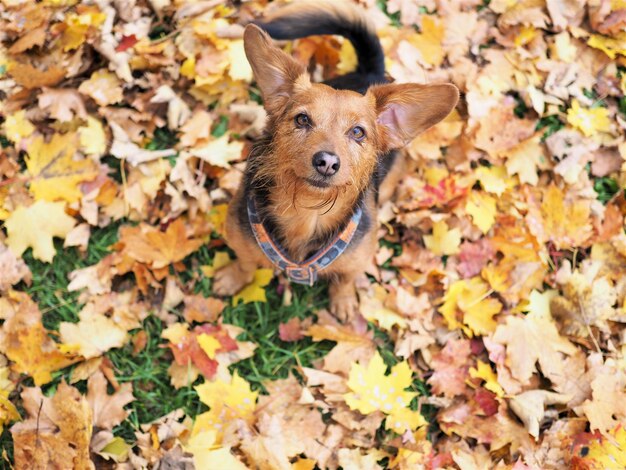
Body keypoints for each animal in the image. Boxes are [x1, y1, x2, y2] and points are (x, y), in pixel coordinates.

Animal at [212, 0, 456, 322]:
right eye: (302, 119)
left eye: (358, 132)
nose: (327, 162)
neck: (306, 212)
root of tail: (369, 71)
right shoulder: (240, 238)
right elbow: (245, 263)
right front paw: (232, 278)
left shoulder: (357, 259)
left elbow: (345, 279)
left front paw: (343, 302)